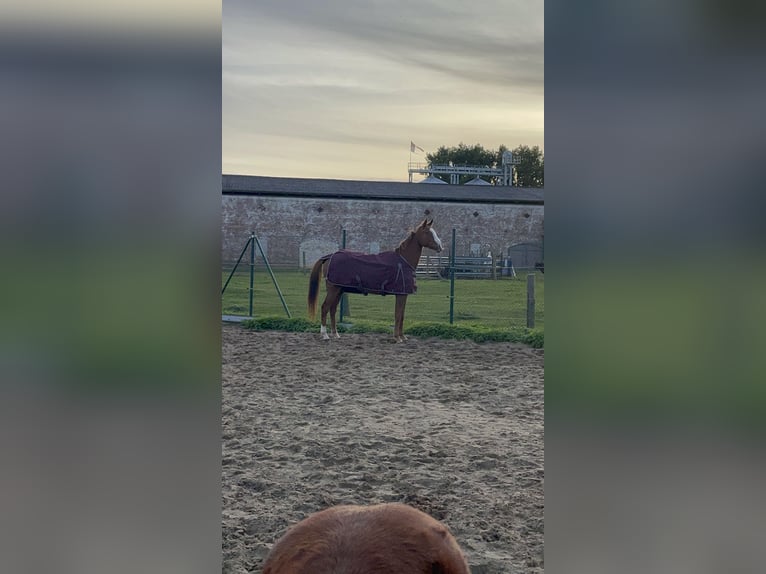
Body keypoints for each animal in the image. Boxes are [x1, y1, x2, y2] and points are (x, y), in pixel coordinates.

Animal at [308, 219, 444, 342]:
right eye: (427, 232)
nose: (440, 247)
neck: (403, 261)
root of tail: (330, 256)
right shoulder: (400, 295)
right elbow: (398, 315)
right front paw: (397, 337)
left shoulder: (404, 295)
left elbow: (402, 315)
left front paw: (403, 337)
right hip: (333, 290)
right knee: (325, 308)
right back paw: (325, 335)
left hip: (339, 290)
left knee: (332, 309)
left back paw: (336, 334)